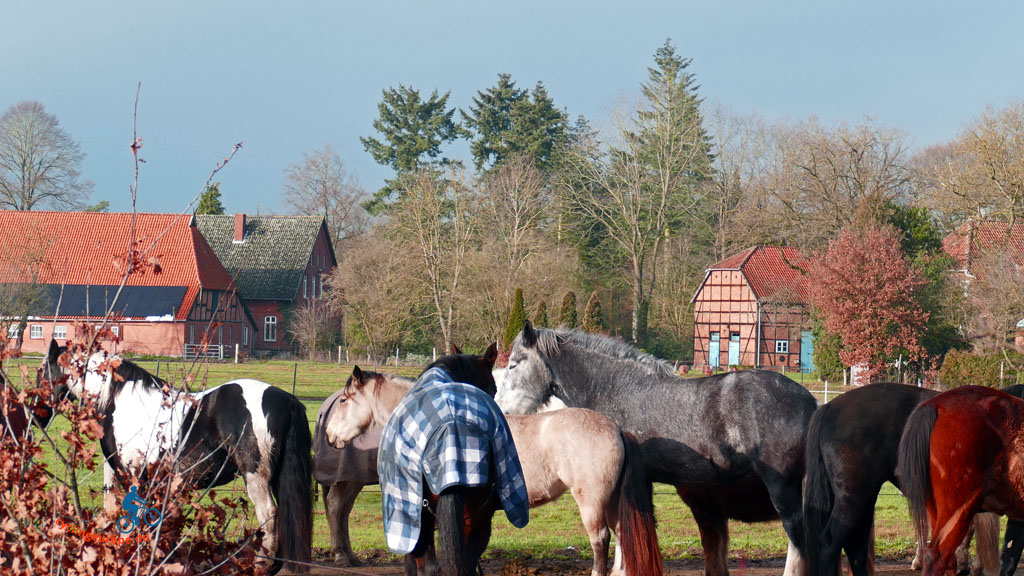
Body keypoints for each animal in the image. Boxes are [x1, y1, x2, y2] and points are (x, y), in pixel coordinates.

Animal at [40, 338, 311, 569]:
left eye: (42, 371)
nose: (38, 415)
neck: (120, 402)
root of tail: (286, 399)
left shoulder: (133, 475)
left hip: (256, 476)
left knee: (268, 514)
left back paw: (262, 564)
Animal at [323, 364, 667, 573]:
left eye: (344, 400)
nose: (328, 435)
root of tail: (617, 429)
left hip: (592, 502)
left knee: (601, 540)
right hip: (611, 501)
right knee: (622, 534)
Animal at [495, 323, 815, 573]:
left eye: (514, 364)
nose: (502, 410)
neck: (617, 389)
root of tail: (810, 403)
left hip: (782, 488)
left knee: (798, 539)